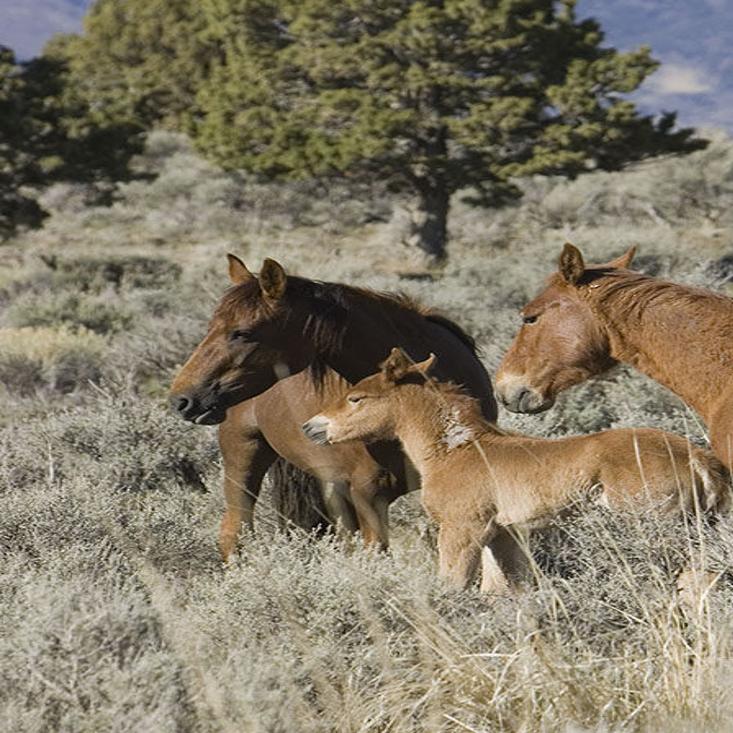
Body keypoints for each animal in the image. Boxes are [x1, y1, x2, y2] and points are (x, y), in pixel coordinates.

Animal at [303, 348, 730, 593]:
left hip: (660, 528)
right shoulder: (502, 536)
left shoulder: (462, 529)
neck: (454, 450)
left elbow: (453, 586)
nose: (312, 426)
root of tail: (696, 456)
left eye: (356, 398)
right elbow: (504, 590)